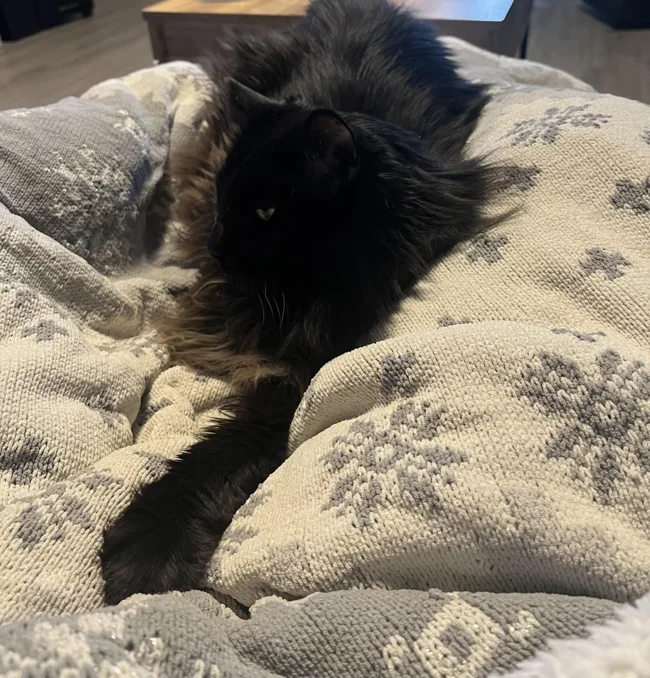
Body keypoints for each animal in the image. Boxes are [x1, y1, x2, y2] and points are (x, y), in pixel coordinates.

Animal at [100, 0, 493, 605]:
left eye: (266, 211)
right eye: (224, 197)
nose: (215, 244)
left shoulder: (299, 371)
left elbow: (221, 453)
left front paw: (148, 545)